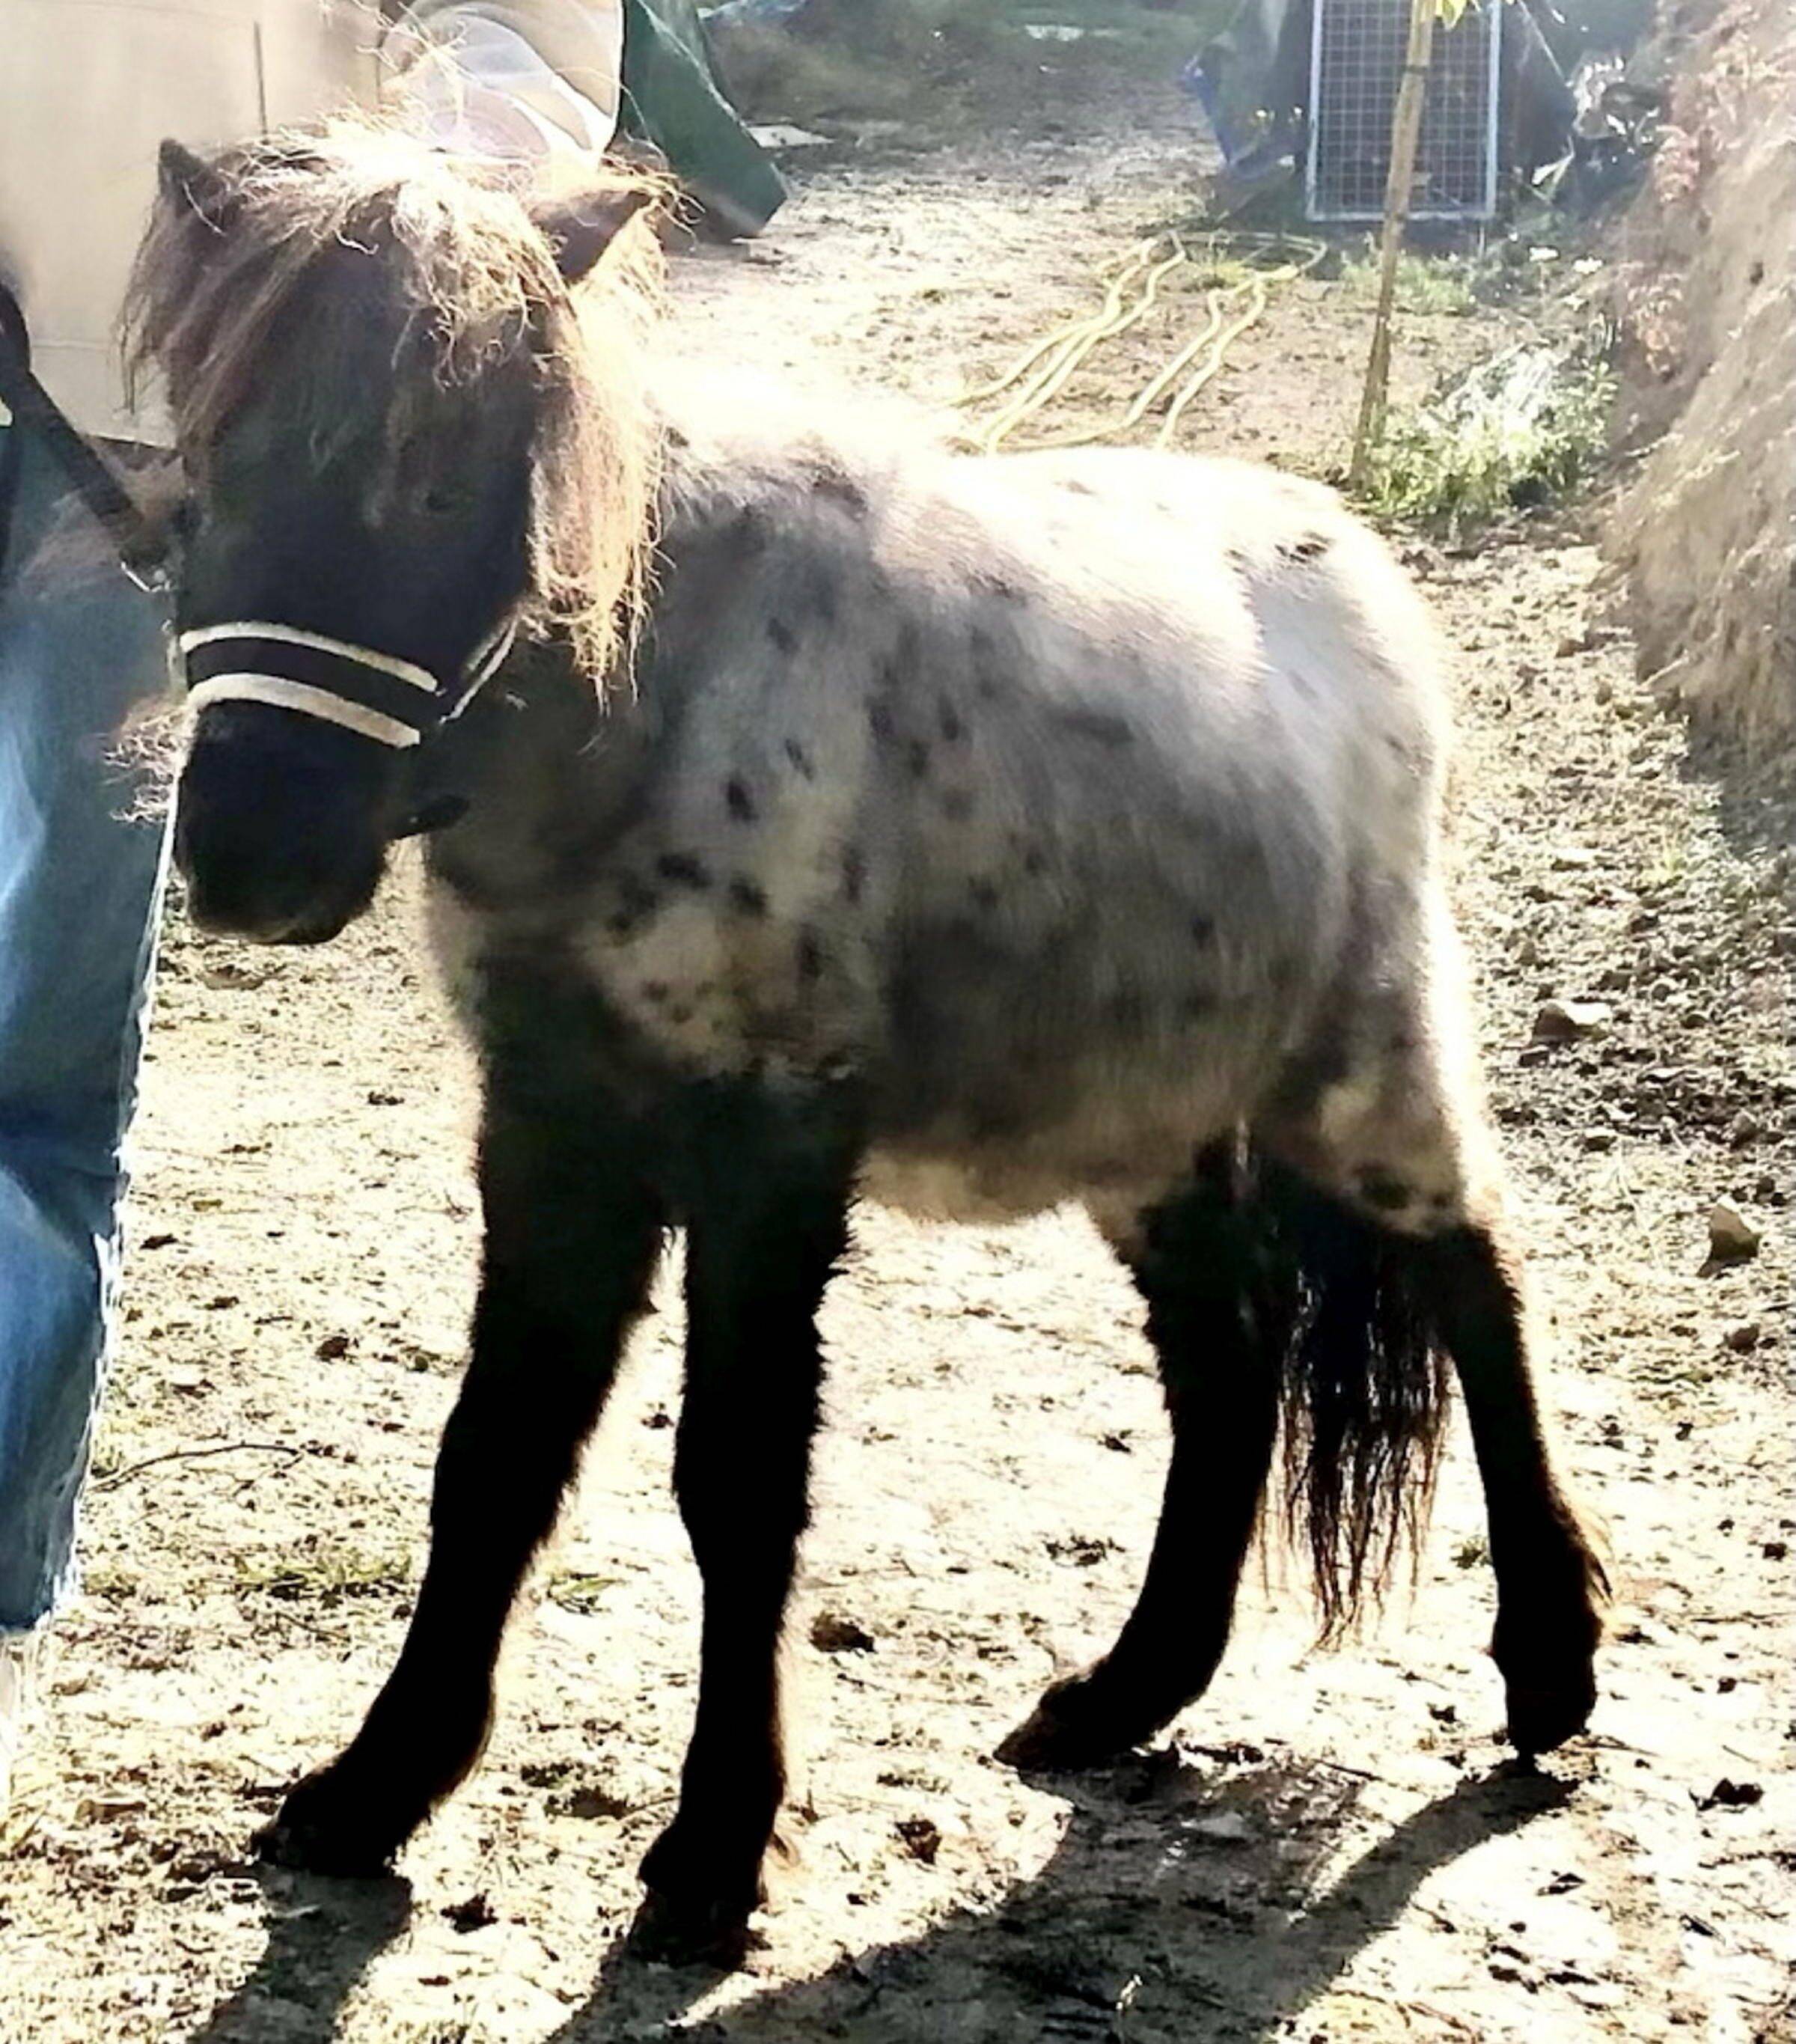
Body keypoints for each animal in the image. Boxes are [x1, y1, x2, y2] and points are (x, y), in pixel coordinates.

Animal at [128, 125, 1607, 1962]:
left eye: (444, 487)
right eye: (207, 468)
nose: (252, 858)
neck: (647, 711)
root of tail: (1345, 557)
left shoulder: (769, 1143)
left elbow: (737, 1478)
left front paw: (714, 1853)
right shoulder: (554, 1125)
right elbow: (498, 1451)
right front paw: (377, 1787)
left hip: (1361, 1057)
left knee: (1477, 1274)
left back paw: (1550, 1666)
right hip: (1145, 1115)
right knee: (1231, 1355)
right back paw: (1126, 1693)